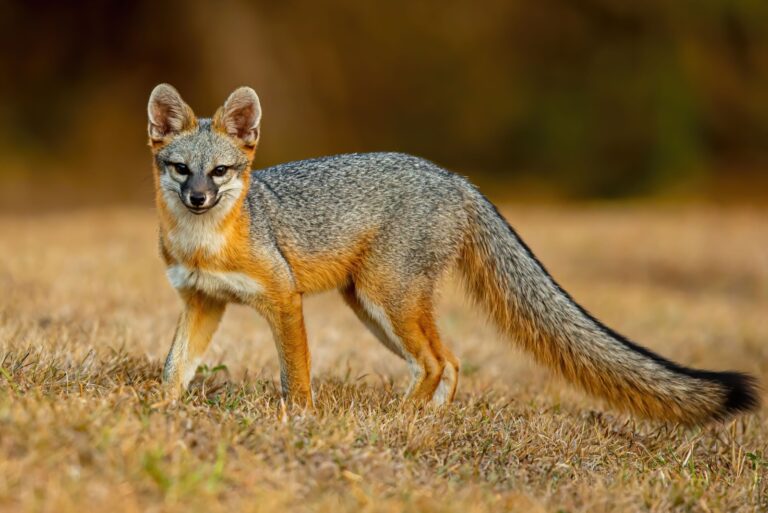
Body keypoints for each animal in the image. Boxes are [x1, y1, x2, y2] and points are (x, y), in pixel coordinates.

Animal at [147, 83, 759, 424]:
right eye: (180, 169)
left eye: (220, 171)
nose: (197, 198)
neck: (206, 243)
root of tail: (457, 179)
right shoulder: (203, 303)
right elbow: (176, 366)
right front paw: (160, 413)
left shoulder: (283, 298)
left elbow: (294, 375)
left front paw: (298, 419)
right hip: (373, 310)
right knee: (451, 361)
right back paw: (429, 420)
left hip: (386, 301)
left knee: (439, 361)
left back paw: (403, 419)